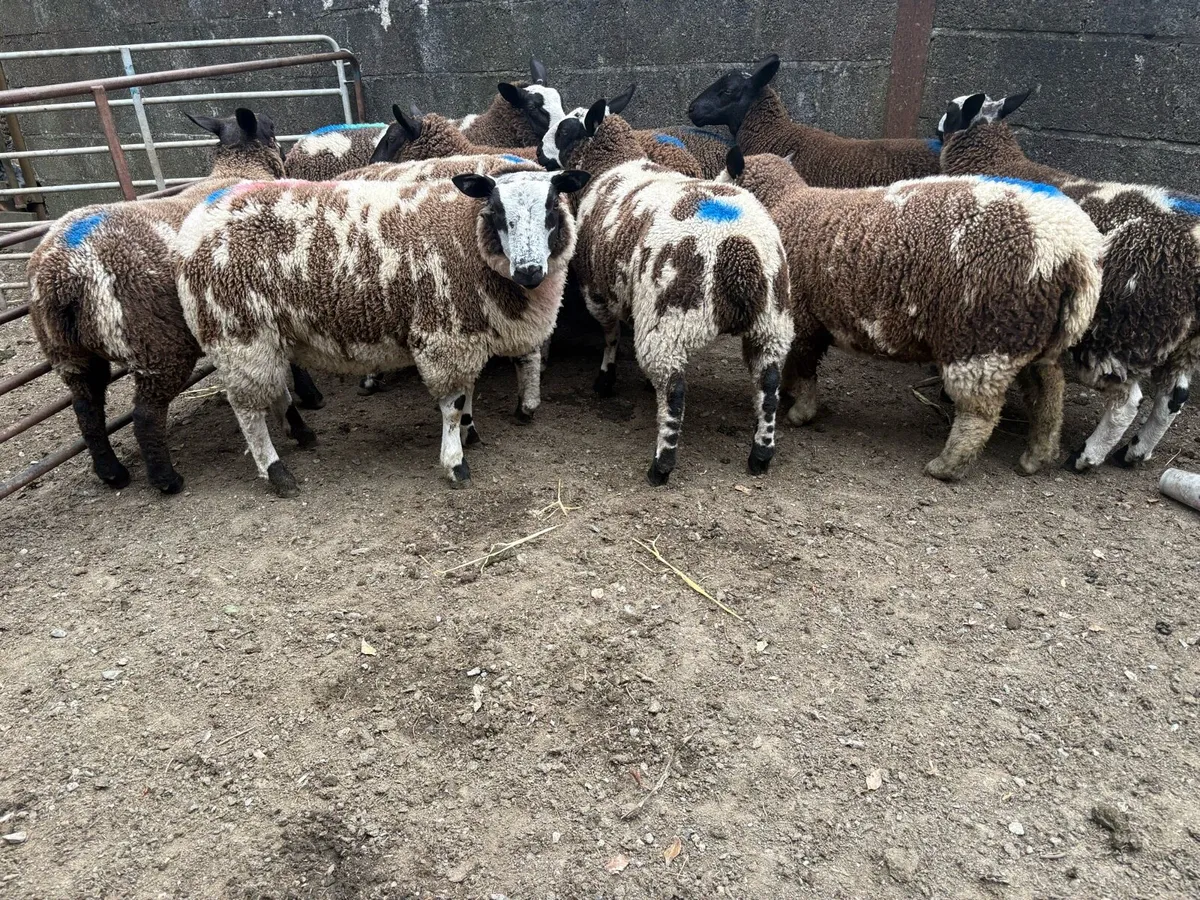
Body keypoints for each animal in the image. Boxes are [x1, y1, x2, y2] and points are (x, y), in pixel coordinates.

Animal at [26, 107, 322, 493]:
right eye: (272, 129)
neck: (239, 169)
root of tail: (63, 271)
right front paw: (311, 398)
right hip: (159, 345)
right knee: (144, 414)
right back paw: (166, 479)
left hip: (69, 353)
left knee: (87, 410)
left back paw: (112, 473)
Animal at [174, 163, 590, 494]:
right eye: (498, 211)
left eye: (551, 207)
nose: (529, 270)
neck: (465, 234)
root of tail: (199, 219)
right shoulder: (444, 333)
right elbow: (453, 404)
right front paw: (456, 462)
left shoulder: (463, 332)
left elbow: (467, 394)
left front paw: (469, 433)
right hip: (237, 332)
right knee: (247, 412)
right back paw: (277, 473)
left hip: (264, 336)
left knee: (273, 389)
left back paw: (302, 433)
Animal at [554, 100, 794, 485]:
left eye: (565, 129)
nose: (539, 152)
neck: (613, 164)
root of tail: (738, 249)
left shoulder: (599, 290)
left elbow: (610, 335)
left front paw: (605, 379)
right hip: (771, 323)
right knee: (768, 386)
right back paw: (760, 455)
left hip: (670, 320)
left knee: (675, 392)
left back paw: (661, 465)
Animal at [720, 148, 1105, 480]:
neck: (784, 201)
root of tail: (1076, 253)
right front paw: (790, 397)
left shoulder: (800, 316)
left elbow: (803, 368)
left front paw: (801, 411)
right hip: (1030, 336)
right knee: (1049, 391)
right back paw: (1037, 455)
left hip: (982, 338)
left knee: (980, 412)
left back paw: (947, 467)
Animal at [939, 90, 1200, 472]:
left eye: (952, 110)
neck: (998, 160)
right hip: (1185, 343)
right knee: (1173, 398)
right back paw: (1133, 453)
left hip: (1120, 331)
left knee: (1127, 402)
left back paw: (1086, 457)